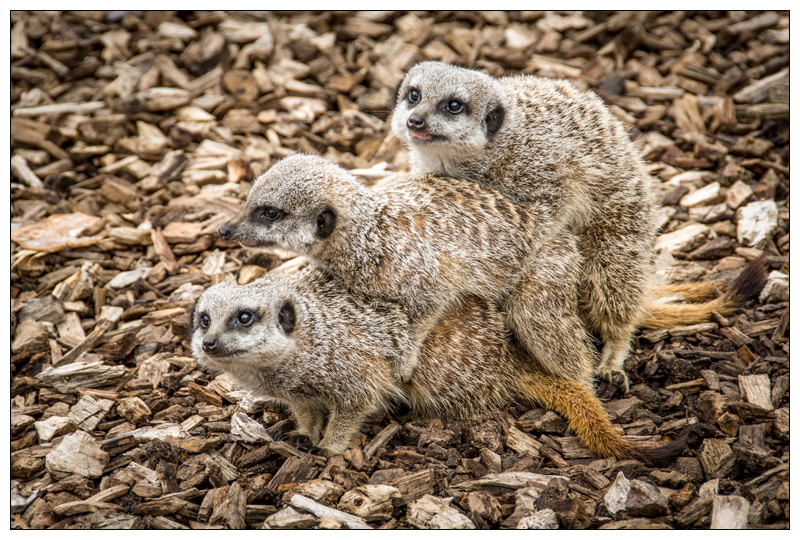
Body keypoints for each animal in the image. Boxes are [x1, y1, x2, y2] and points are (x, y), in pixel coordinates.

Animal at [191, 262, 687, 465]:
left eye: (244, 317)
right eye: (203, 318)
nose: (209, 342)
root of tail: (505, 359)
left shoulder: (354, 367)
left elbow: (358, 401)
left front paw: (328, 446)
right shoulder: (298, 389)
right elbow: (307, 409)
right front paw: (302, 434)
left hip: (443, 370)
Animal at [219, 153, 768, 391]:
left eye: (267, 212)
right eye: (250, 202)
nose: (225, 228)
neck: (365, 231)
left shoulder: (414, 263)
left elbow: (432, 301)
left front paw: (407, 356)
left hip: (548, 268)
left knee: (544, 322)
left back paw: (595, 372)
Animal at [390, 61, 659, 389]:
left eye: (454, 105)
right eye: (414, 95)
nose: (415, 120)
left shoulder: (536, 165)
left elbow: (547, 215)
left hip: (624, 215)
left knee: (614, 280)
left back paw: (614, 353)